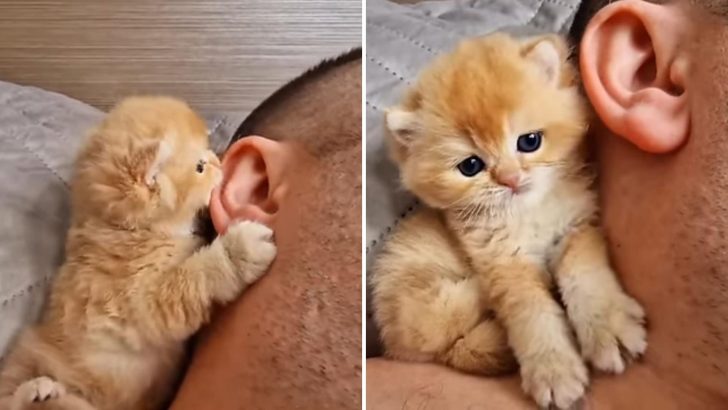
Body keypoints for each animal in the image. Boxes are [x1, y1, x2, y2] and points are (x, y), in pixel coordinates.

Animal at [0, 97, 276, 410]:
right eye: (200, 167)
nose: (219, 160)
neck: (131, 231)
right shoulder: (139, 301)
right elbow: (193, 277)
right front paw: (238, 250)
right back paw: (37, 390)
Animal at [372, 33, 644, 408]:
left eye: (529, 142)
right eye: (470, 166)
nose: (510, 179)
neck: (527, 213)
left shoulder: (576, 228)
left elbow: (584, 275)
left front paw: (609, 327)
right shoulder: (503, 262)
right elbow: (533, 314)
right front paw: (553, 370)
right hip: (422, 298)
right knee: (445, 331)